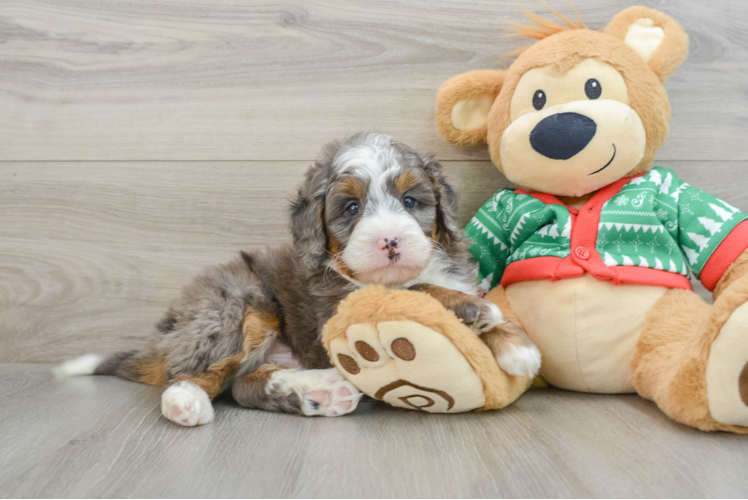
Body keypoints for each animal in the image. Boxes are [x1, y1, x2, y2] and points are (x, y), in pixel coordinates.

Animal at [57, 132, 536, 426]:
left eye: (410, 200)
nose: (390, 241)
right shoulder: (335, 308)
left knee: (243, 385)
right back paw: (185, 402)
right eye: (351, 208)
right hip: (237, 306)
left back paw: (319, 392)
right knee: (198, 374)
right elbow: (416, 292)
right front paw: (479, 312)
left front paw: (518, 347)